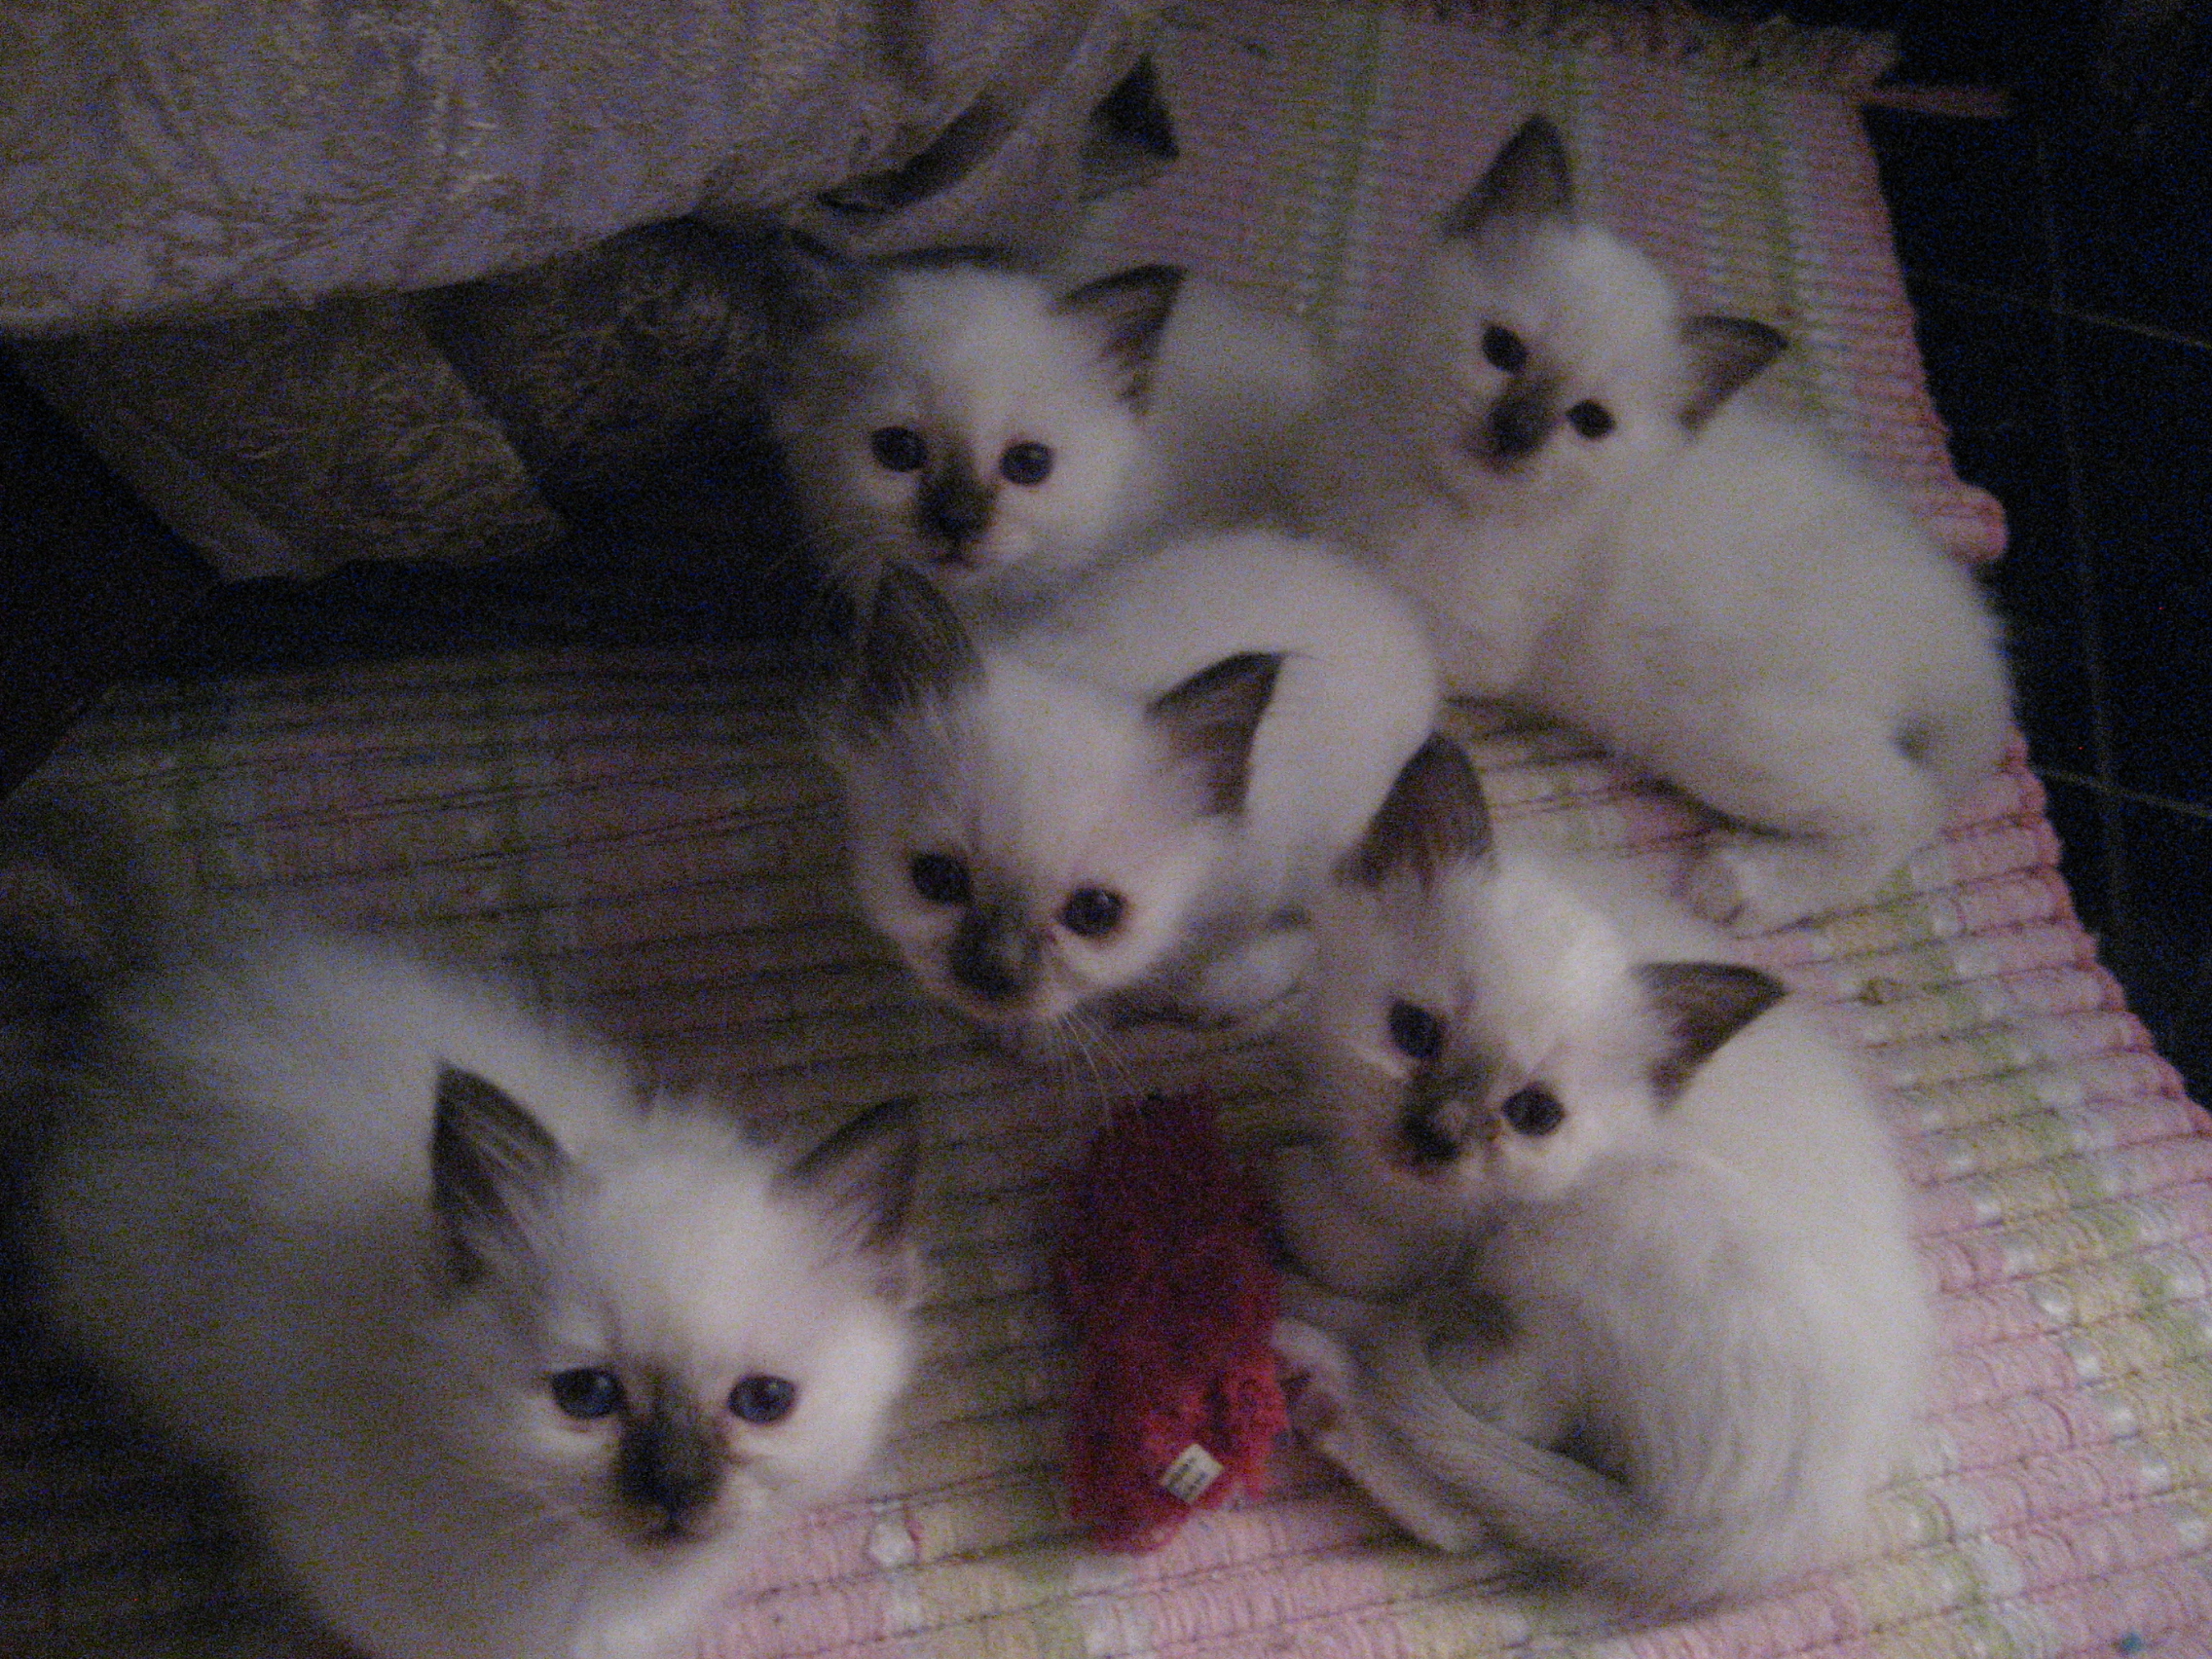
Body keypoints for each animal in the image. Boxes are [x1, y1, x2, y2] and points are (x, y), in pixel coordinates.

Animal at [1273, 738, 1929, 1610]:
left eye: (1533, 1114)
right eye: (1413, 1032)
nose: (1435, 1138)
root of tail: (1798, 1513)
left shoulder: (1458, 1224)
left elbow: (1355, 1242)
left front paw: (1293, 1181)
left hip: (1604, 1232)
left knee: (1499, 1405)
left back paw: (1316, 1358)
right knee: (1475, 1490)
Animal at [1300, 120, 2017, 938]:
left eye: (1590, 422)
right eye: (1502, 351)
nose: (1516, 431)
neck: (1414, 476)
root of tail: (1972, 635)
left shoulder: (1474, 639)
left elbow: (1362, 593)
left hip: (1732, 732)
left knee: (1906, 806)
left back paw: (1747, 886)